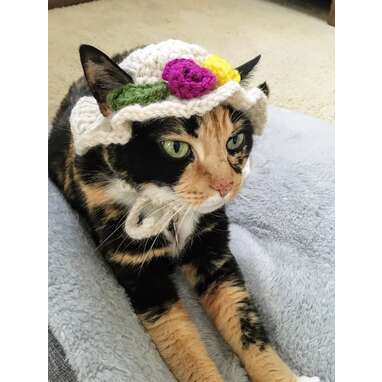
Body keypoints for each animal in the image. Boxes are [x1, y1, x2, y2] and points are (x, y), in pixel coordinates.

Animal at [48, 42, 314, 382]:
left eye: (235, 140)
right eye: (176, 148)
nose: (225, 185)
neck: (171, 211)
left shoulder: (214, 253)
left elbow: (245, 324)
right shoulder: (142, 274)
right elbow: (184, 345)